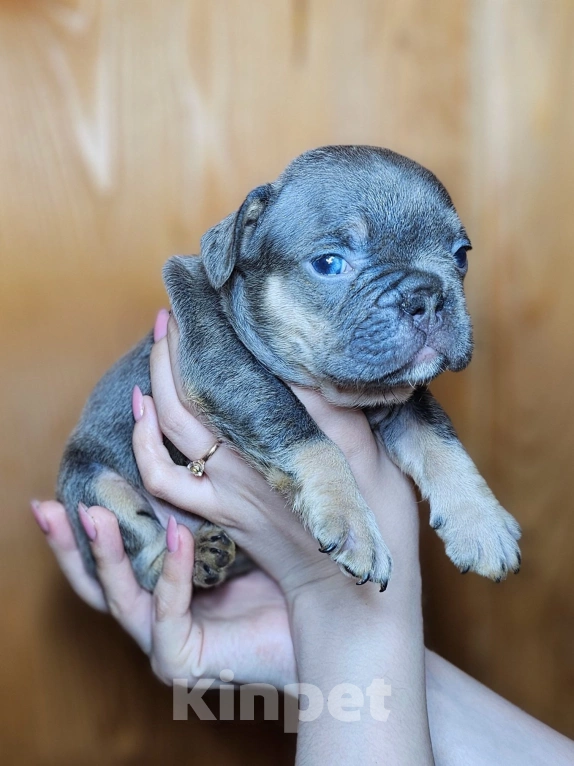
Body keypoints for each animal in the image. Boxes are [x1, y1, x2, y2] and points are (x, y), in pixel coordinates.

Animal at [57, 148, 520, 592]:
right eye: (329, 263)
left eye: (460, 256)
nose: (427, 294)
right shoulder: (227, 370)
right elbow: (305, 434)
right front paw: (353, 523)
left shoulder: (404, 393)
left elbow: (439, 439)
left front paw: (483, 524)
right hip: (95, 489)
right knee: (144, 556)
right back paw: (196, 560)